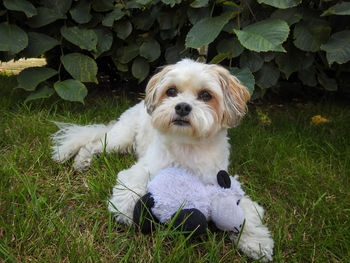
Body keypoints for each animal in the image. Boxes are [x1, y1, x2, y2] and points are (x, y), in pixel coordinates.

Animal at [52, 59, 274, 262]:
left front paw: (256, 242)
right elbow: (129, 188)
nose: (182, 107)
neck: (187, 146)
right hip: (119, 140)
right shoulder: (143, 169)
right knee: (94, 143)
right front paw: (125, 212)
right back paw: (82, 160)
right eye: (171, 91)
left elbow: (247, 213)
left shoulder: (223, 181)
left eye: (206, 95)